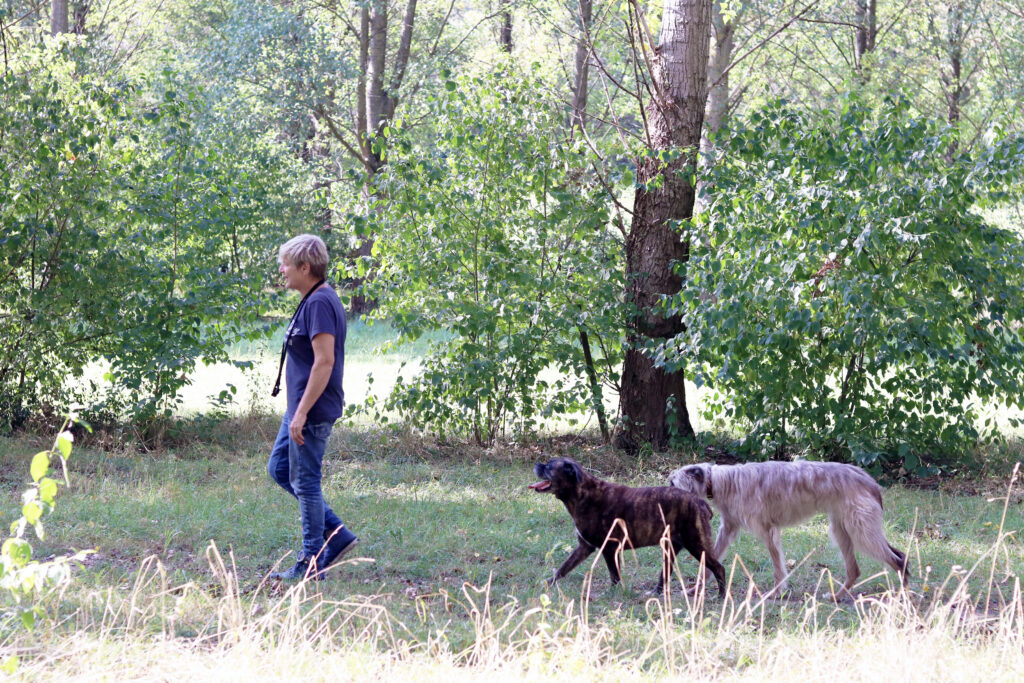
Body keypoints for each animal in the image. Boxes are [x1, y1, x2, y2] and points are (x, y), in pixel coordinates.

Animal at [532, 458, 724, 598]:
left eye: (549, 466)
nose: (537, 464)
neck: (581, 493)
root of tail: (701, 503)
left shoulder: (609, 548)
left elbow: (614, 575)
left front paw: (612, 593)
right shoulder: (584, 547)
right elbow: (564, 567)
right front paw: (548, 583)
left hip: (696, 545)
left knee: (719, 569)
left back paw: (721, 597)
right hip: (671, 548)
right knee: (665, 574)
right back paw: (655, 593)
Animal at [667, 462, 909, 593]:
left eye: (671, 483)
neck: (722, 481)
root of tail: (869, 480)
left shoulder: (768, 530)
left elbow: (777, 567)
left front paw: (776, 593)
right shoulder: (728, 529)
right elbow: (711, 560)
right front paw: (696, 588)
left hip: (861, 532)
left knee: (898, 561)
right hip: (843, 530)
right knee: (857, 569)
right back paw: (836, 597)